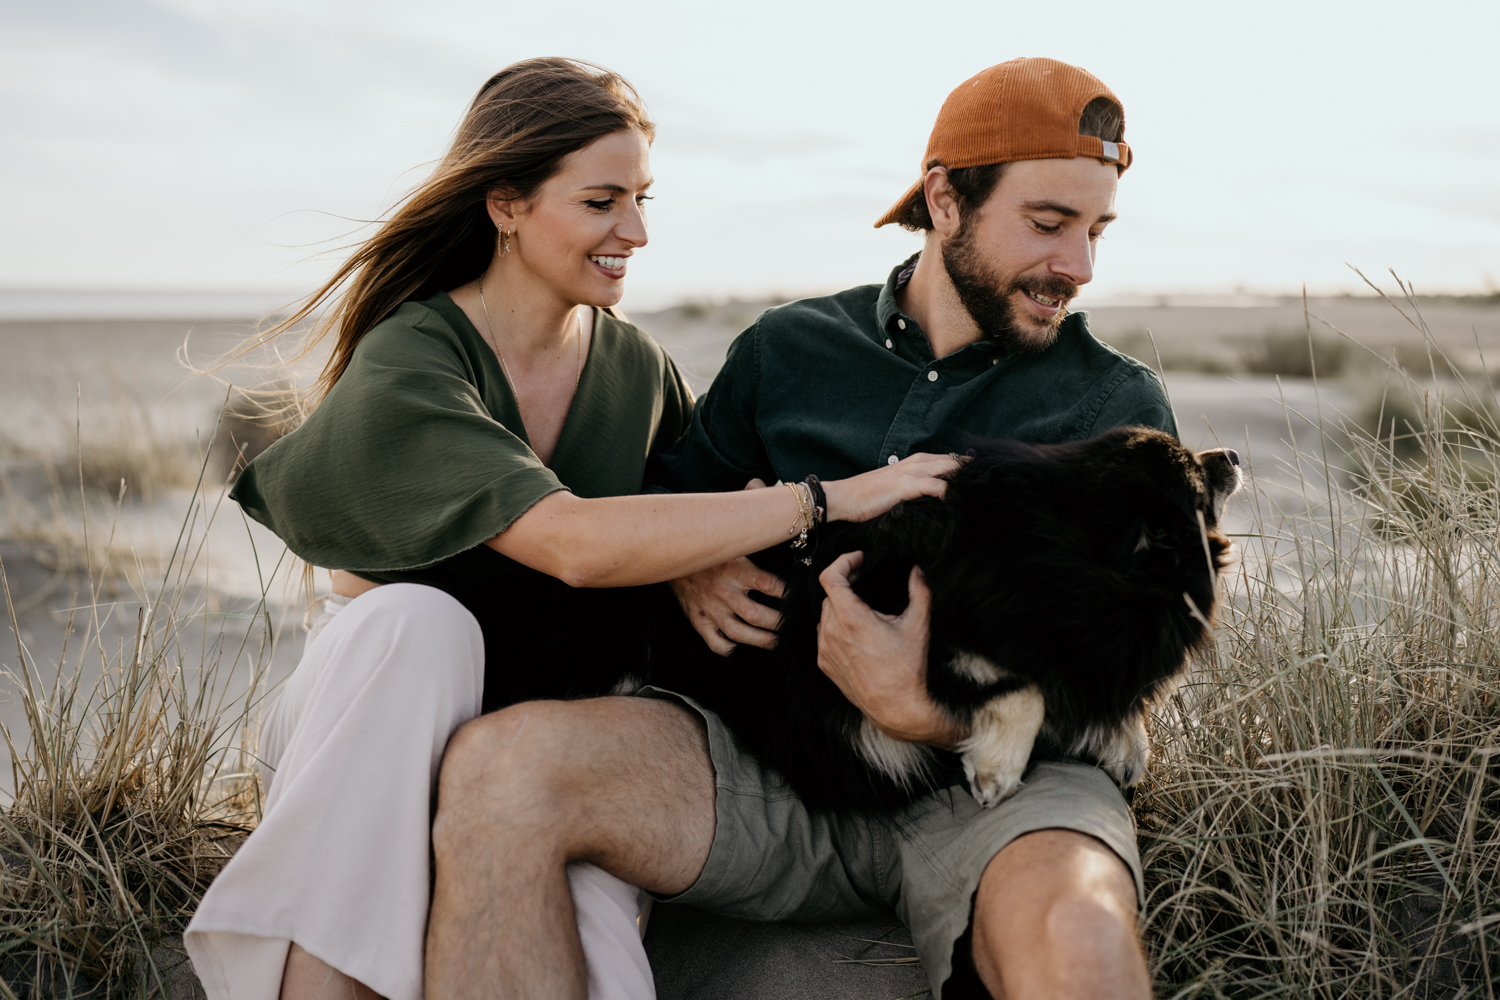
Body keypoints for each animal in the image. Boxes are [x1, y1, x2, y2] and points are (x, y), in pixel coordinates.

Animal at [657, 425, 1242, 815]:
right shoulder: (924, 635)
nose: (1233, 453)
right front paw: (998, 766)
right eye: (1197, 476)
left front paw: (1129, 742)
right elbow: (1026, 687)